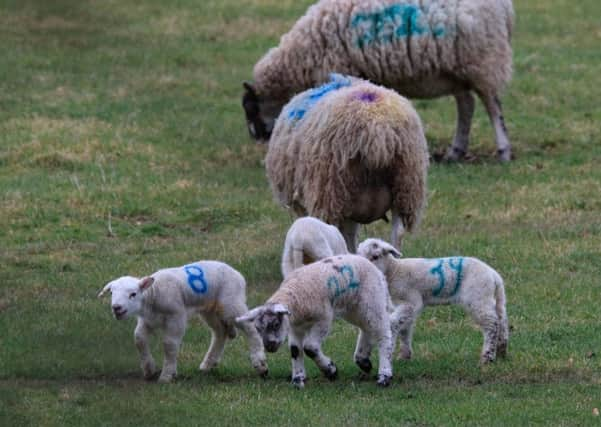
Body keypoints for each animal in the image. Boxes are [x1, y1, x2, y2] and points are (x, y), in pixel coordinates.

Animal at [98, 260, 268, 384]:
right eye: (111, 293)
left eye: (133, 294)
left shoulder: (176, 316)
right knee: (220, 332)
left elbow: (169, 344)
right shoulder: (147, 320)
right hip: (209, 309)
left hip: (231, 302)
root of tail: (239, 275)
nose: (116, 308)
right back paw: (208, 364)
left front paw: (167, 375)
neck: (153, 294)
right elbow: (139, 339)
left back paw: (260, 364)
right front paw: (149, 370)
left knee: (249, 327)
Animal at [234, 252, 394, 390]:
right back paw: (364, 361)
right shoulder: (294, 326)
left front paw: (331, 370)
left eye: (275, 324)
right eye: (258, 329)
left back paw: (384, 375)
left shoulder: (323, 318)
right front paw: (298, 379)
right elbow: (295, 350)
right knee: (366, 328)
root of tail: (377, 271)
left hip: (372, 299)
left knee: (383, 332)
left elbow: (309, 347)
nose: (269, 347)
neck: (295, 298)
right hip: (354, 307)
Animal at [244, 0, 516, 162]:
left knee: (492, 106)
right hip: (456, 69)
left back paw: (504, 150)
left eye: (251, 109)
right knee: (467, 105)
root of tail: (506, 9)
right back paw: (455, 152)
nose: (256, 139)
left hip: (483, 59)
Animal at [356, 237, 506, 364]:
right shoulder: (405, 305)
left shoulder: (411, 301)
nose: (362, 270)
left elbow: (396, 323)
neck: (395, 271)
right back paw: (501, 352)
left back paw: (487, 357)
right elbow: (405, 328)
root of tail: (494, 276)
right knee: (501, 320)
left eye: (375, 257)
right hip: (493, 298)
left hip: (478, 296)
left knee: (491, 323)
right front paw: (405, 356)